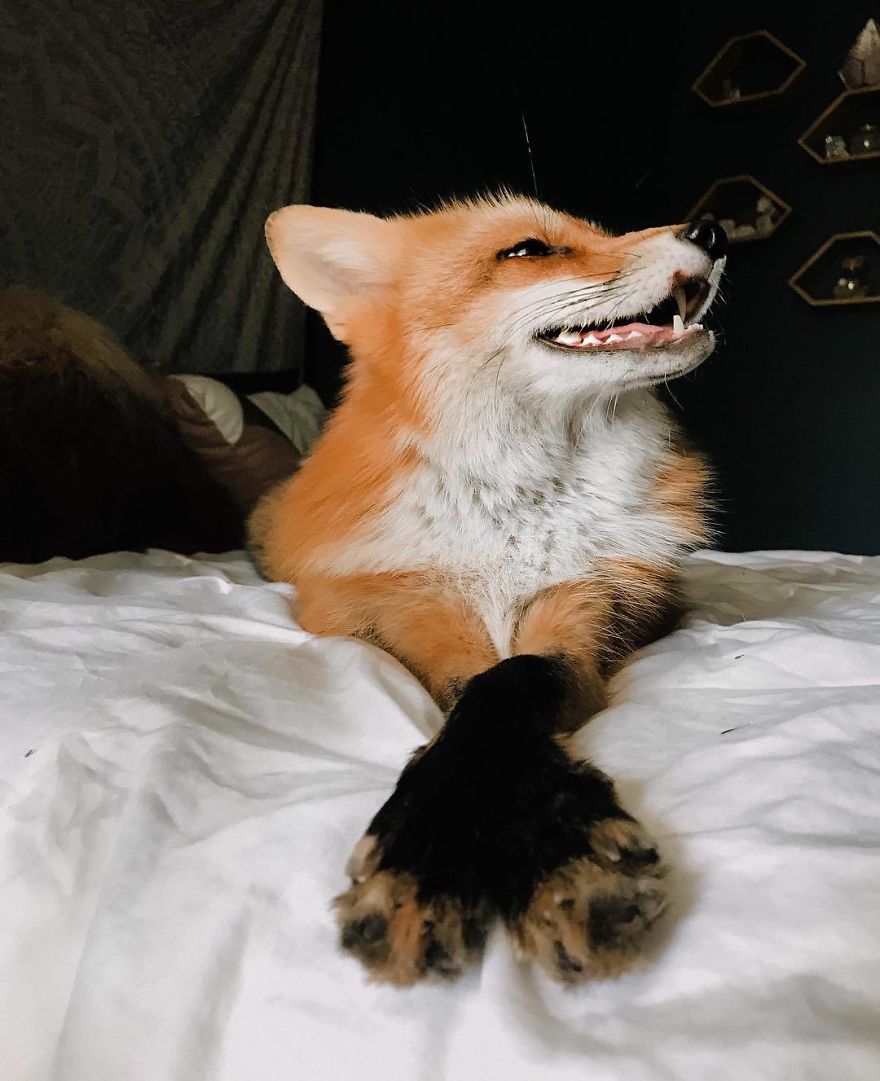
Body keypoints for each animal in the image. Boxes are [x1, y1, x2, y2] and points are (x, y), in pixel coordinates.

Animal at [249, 194, 727, 986]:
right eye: (529, 250)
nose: (712, 229)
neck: (514, 512)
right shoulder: (408, 609)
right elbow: (469, 705)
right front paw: (433, 846)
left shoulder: (587, 605)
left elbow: (510, 685)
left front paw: (557, 846)